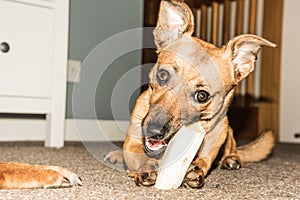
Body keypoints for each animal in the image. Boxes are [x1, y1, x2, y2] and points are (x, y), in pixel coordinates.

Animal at [105, 0, 276, 188]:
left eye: (202, 96)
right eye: (162, 75)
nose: (154, 131)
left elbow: (204, 160)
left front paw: (196, 170)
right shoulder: (133, 142)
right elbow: (136, 155)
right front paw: (146, 167)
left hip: (228, 130)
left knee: (233, 149)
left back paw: (231, 159)